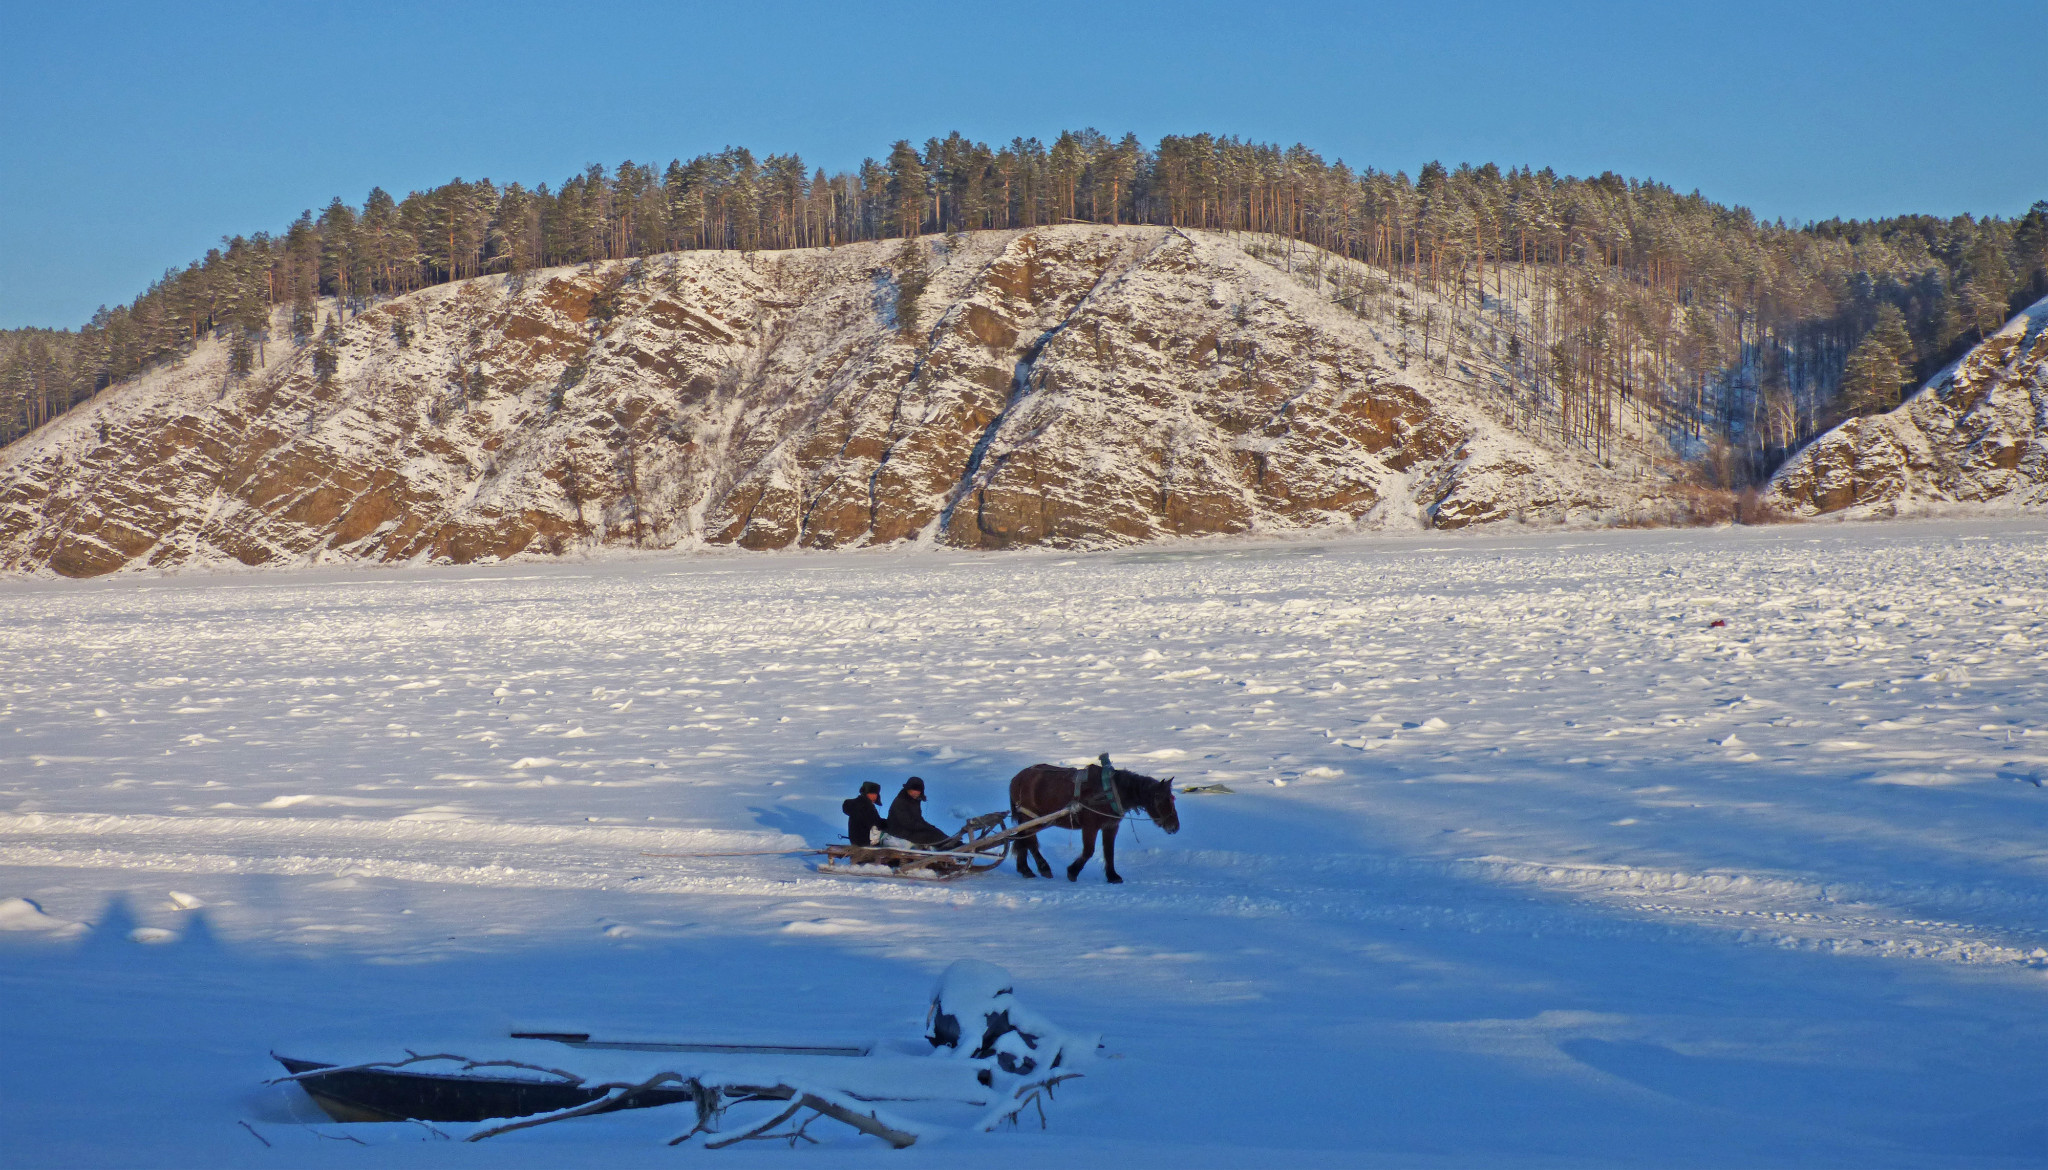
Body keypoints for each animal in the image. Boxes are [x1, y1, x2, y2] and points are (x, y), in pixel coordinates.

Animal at [1007, 766, 1187, 885]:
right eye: (1161, 799)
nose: (1175, 826)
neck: (1111, 792)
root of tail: (1016, 779)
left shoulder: (1110, 826)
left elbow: (1109, 852)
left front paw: (1113, 876)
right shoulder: (1090, 826)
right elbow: (1089, 851)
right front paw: (1072, 871)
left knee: (1023, 839)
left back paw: (1025, 869)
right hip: (1031, 817)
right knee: (1029, 840)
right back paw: (1043, 867)